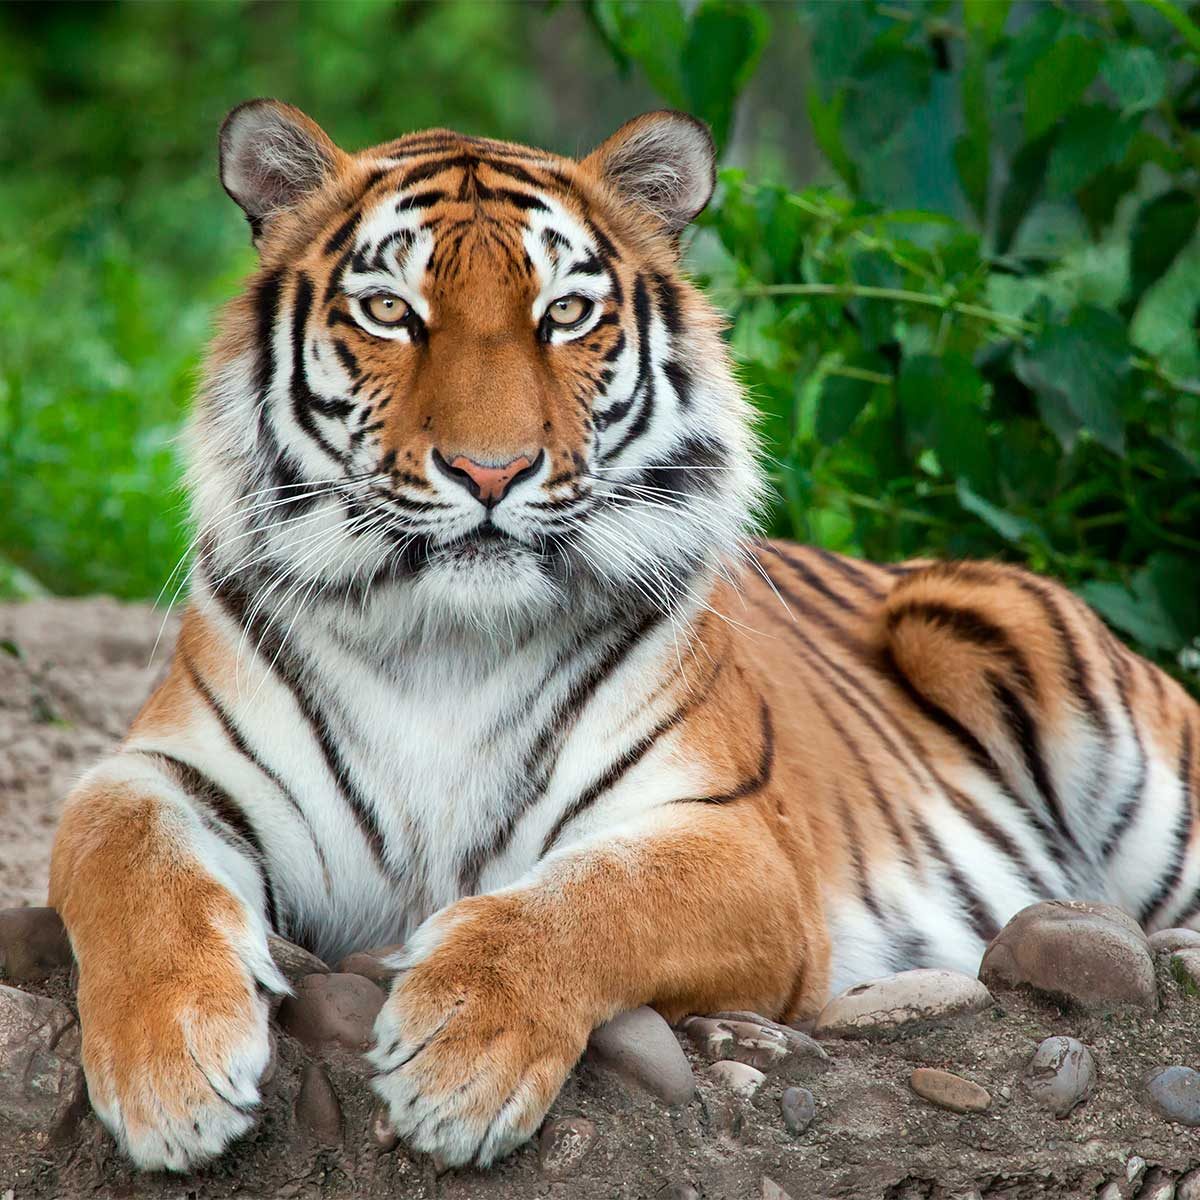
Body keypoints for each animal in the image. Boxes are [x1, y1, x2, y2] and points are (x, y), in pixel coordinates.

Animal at [49, 100, 1200, 1171]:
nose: (491, 472)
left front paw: (458, 1056)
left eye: (564, 314)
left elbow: (589, 900)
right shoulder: (158, 770)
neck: (442, 643)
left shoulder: (735, 842)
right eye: (388, 311)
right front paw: (172, 1073)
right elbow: (129, 863)